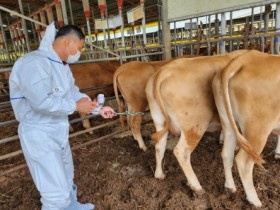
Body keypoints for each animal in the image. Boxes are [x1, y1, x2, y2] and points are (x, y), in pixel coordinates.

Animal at [144, 50, 247, 197]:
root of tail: (164, 71)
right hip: (194, 126)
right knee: (181, 152)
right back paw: (197, 187)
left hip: (160, 121)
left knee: (159, 146)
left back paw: (159, 174)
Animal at [212, 49, 280, 207]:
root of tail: (245, 58)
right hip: (258, 128)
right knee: (244, 162)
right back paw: (255, 200)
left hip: (228, 123)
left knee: (227, 153)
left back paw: (230, 187)